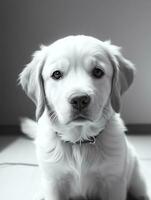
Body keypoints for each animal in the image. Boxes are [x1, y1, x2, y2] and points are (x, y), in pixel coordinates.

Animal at [19, 35, 150, 200]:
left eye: (98, 72)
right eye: (56, 74)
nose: (79, 99)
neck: (79, 142)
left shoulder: (114, 181)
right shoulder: (54, 182)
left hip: (136, 177)